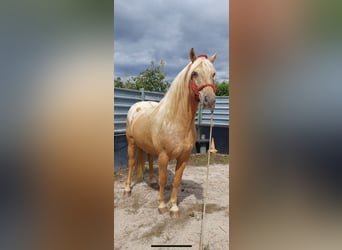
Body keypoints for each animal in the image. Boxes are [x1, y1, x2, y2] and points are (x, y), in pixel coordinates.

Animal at [124, 48, 218, 217]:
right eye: (194, 73)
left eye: (213, 74)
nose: (210, 100)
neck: (175, 120)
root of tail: (136, 106)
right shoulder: (164, 156)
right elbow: (163, 180)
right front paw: (162, 206)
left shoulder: (184, 158)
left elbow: (176, 181)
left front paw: (173, 207)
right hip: (131, 143)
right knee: (131, 163)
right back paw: (127, 189)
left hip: (148, 147)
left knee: (149, 159)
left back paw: (152, 181)